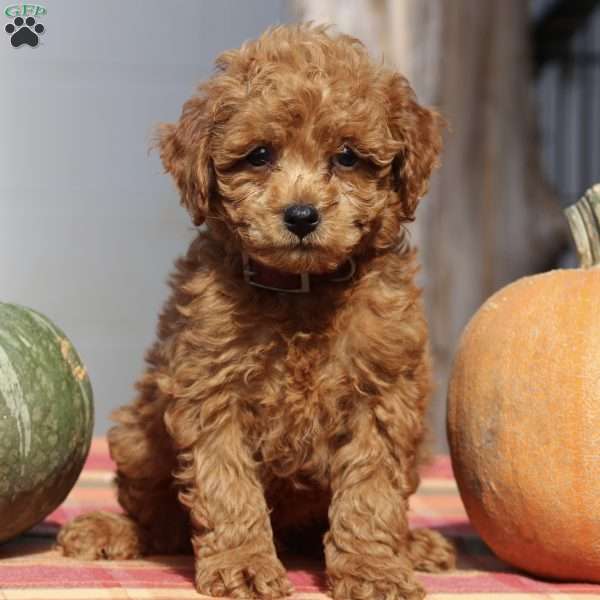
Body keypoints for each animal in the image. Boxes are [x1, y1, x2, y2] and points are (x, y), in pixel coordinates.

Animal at [59, 23, 454, 600]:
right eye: (260, 155)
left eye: (348, 157)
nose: (301, 216)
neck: (300, 291)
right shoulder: (211, 388)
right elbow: (227, 486)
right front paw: (244, 565)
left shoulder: (381, 394)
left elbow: (371, 490)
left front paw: (374, 568)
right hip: (137, 434)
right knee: (159, 518)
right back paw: (111, 530)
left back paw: (416, 545)